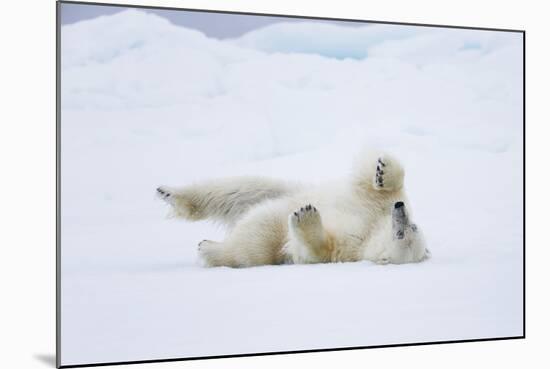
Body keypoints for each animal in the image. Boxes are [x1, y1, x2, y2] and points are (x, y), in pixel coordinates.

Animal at [156, 151, 432, 266]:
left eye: (403, 233)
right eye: (413, 225)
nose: (399, 210)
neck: (372, 230)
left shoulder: (348, 248)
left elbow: (316, 250)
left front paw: (306, 216)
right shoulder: (372, 206)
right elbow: (375, 188)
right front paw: (383, 171)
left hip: (267, 234)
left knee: (252, 244)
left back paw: (209, 248)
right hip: (280, 189)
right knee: (237, 189)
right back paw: (169, 193)